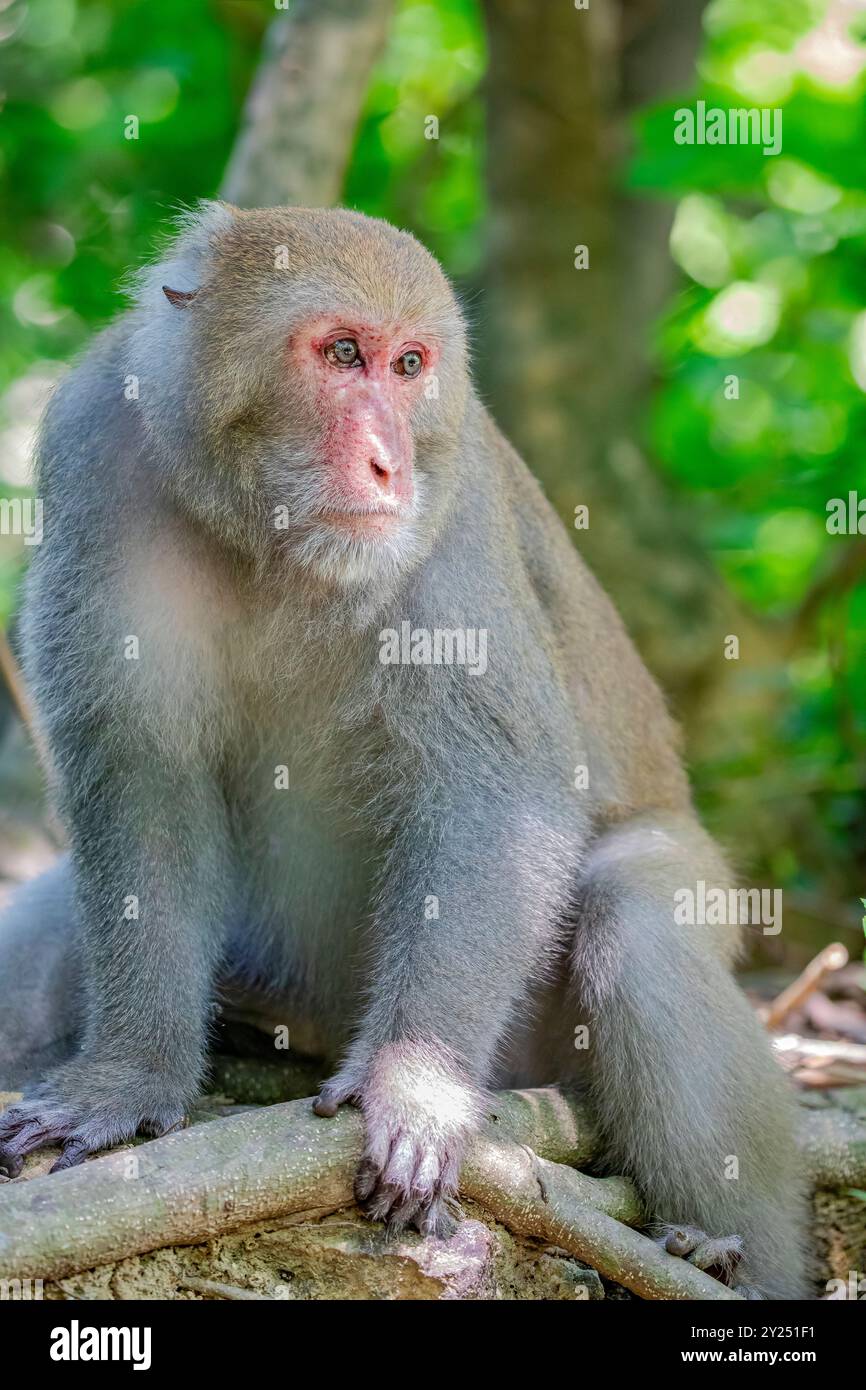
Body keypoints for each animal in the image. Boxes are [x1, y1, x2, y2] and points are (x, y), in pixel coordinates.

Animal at [0, 203, 807, 1298]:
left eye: (410, 365)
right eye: (342, 353)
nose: (389, 462)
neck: (271, 537)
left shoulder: (451, 505)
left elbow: (498, 793)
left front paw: (415, 1085)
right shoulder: (95, 451)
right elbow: (139, 775)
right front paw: (123, 1081)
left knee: (638, 918)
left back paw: (729, 1257)